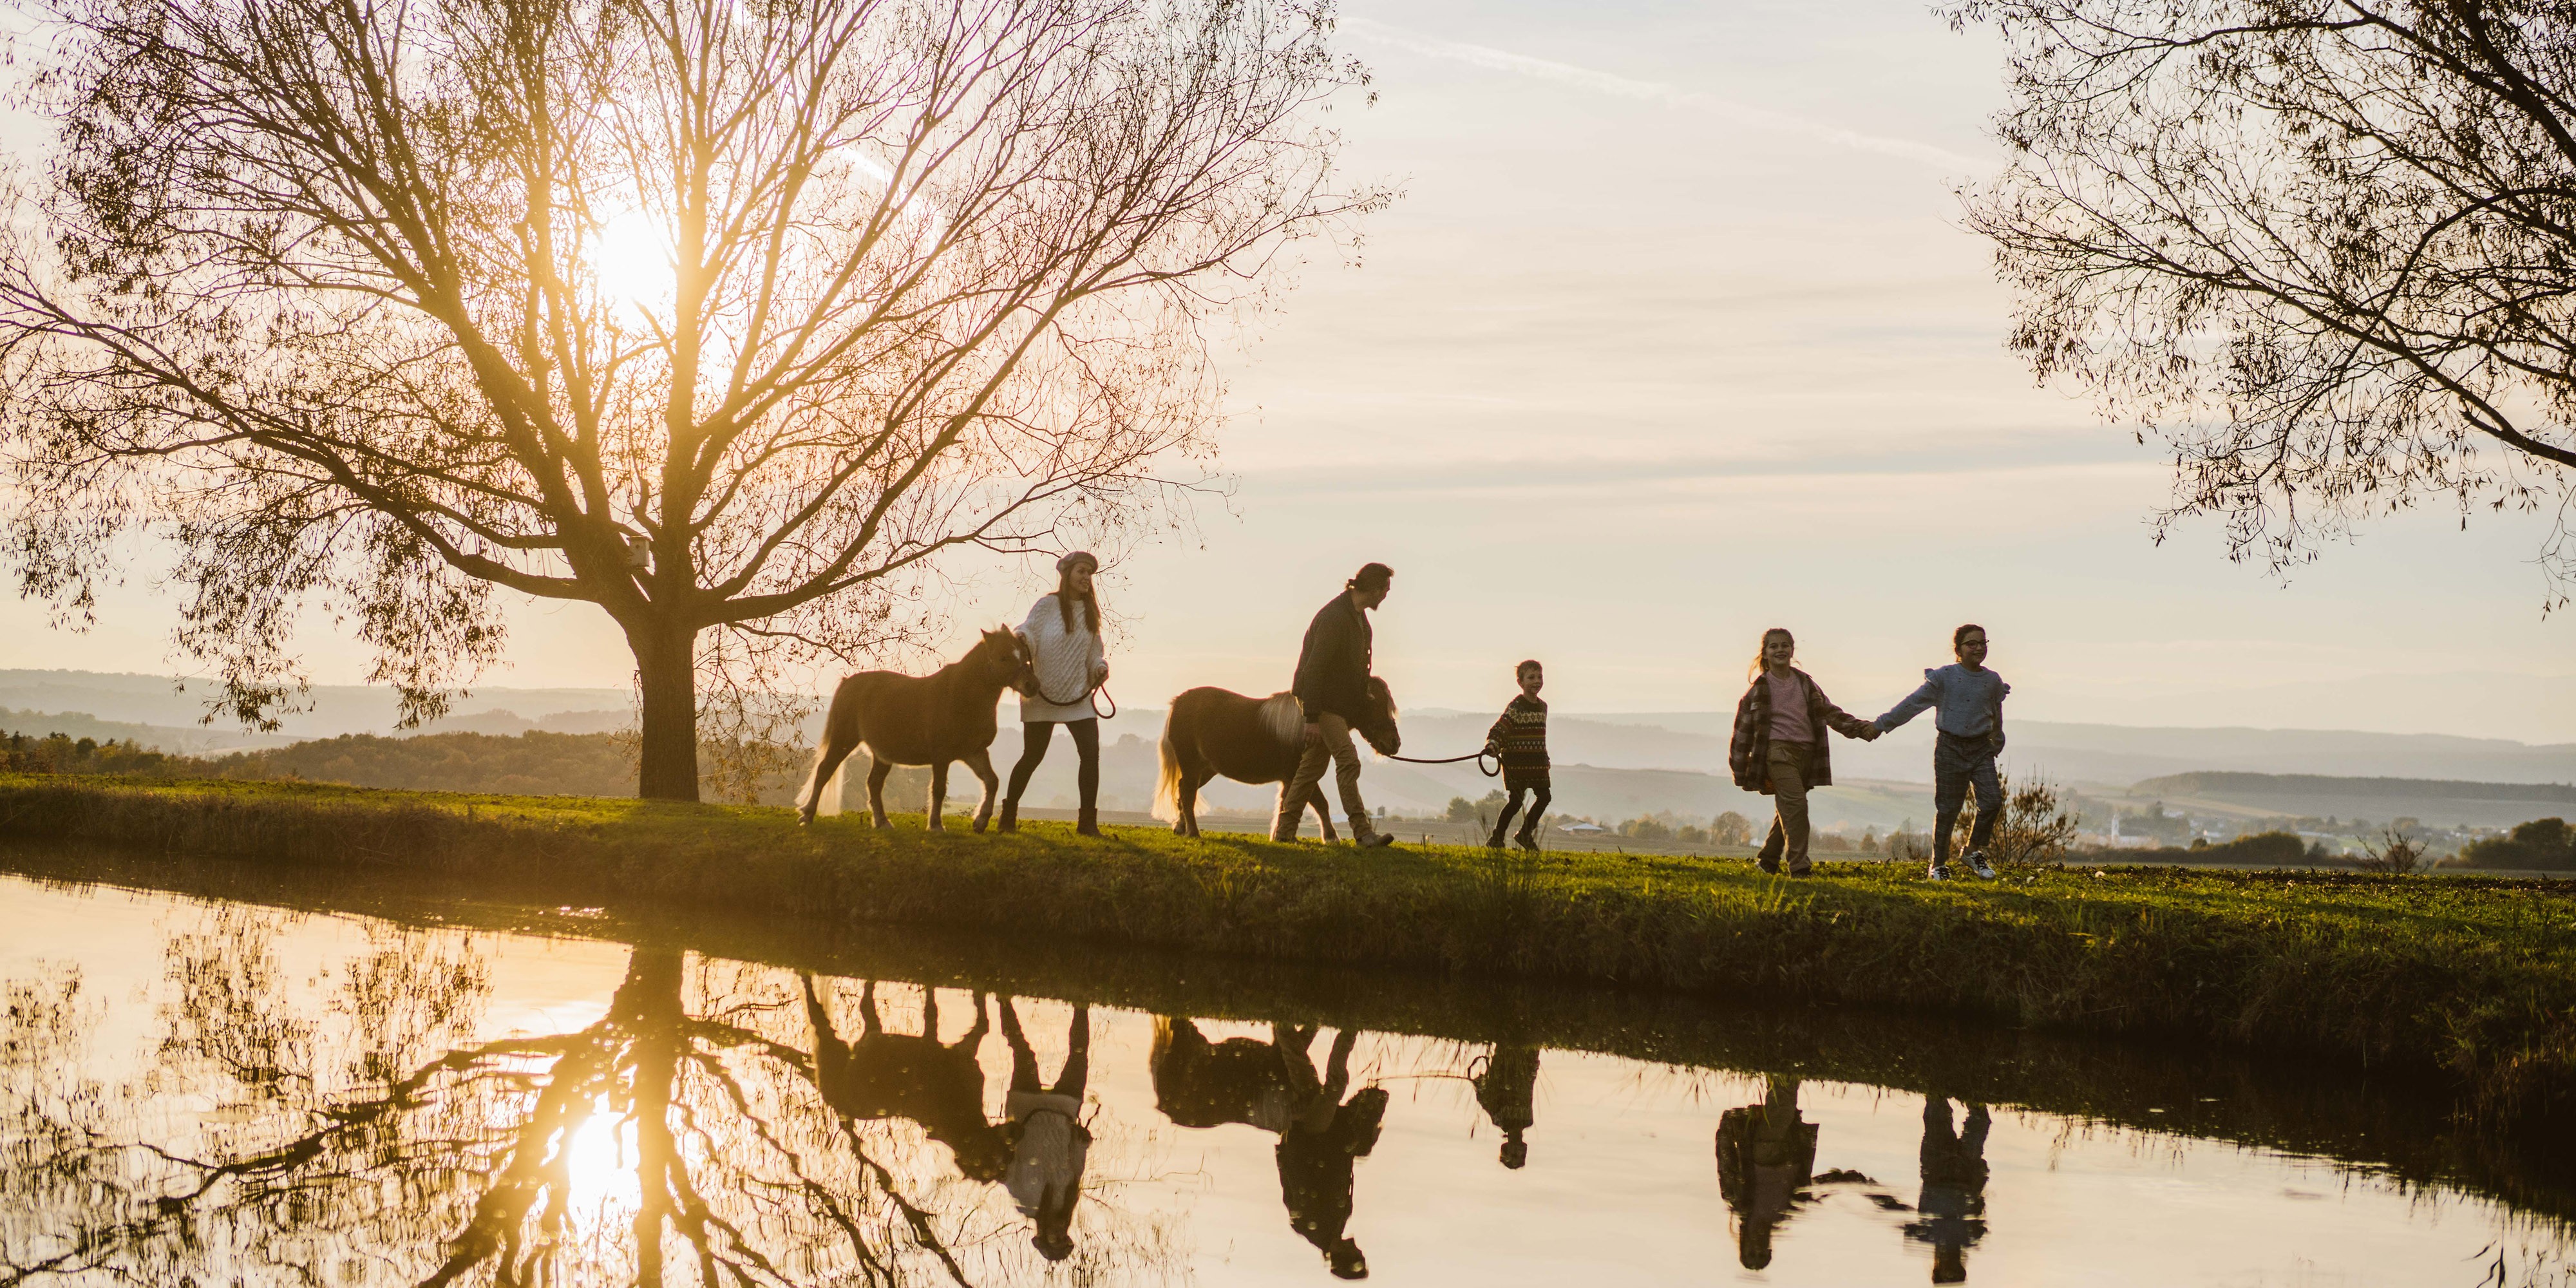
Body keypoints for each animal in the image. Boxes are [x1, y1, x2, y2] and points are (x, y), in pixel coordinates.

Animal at [793, 629, 1025, 829]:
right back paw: (808, 815)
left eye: (1023, 655)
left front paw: (981, 821)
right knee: (825, 771)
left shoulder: (974, 752)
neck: (961, 695)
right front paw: (936, 825)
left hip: (882, 755)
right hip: (844, 740)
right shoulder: (942, 756)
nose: (1031, 686)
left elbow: (992, 782)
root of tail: (848, 682)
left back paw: (883, 822)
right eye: (1003, 657)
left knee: (874, 784)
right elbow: (938, 790)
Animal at [1159, 680, 1401, 840]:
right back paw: (1193, 832)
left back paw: (1181, 827)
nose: (1394, 742)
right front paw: (1331, 837)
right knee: (1188, 794)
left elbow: (1289, 803)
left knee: (1183, 791)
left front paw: (1284, 835)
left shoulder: (1290, 777)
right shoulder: (1297, 772)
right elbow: (1319, 803)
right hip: (1192, 766)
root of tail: (1178, 702)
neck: (1309, 725)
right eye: (1374, 704)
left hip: (1205, 769)